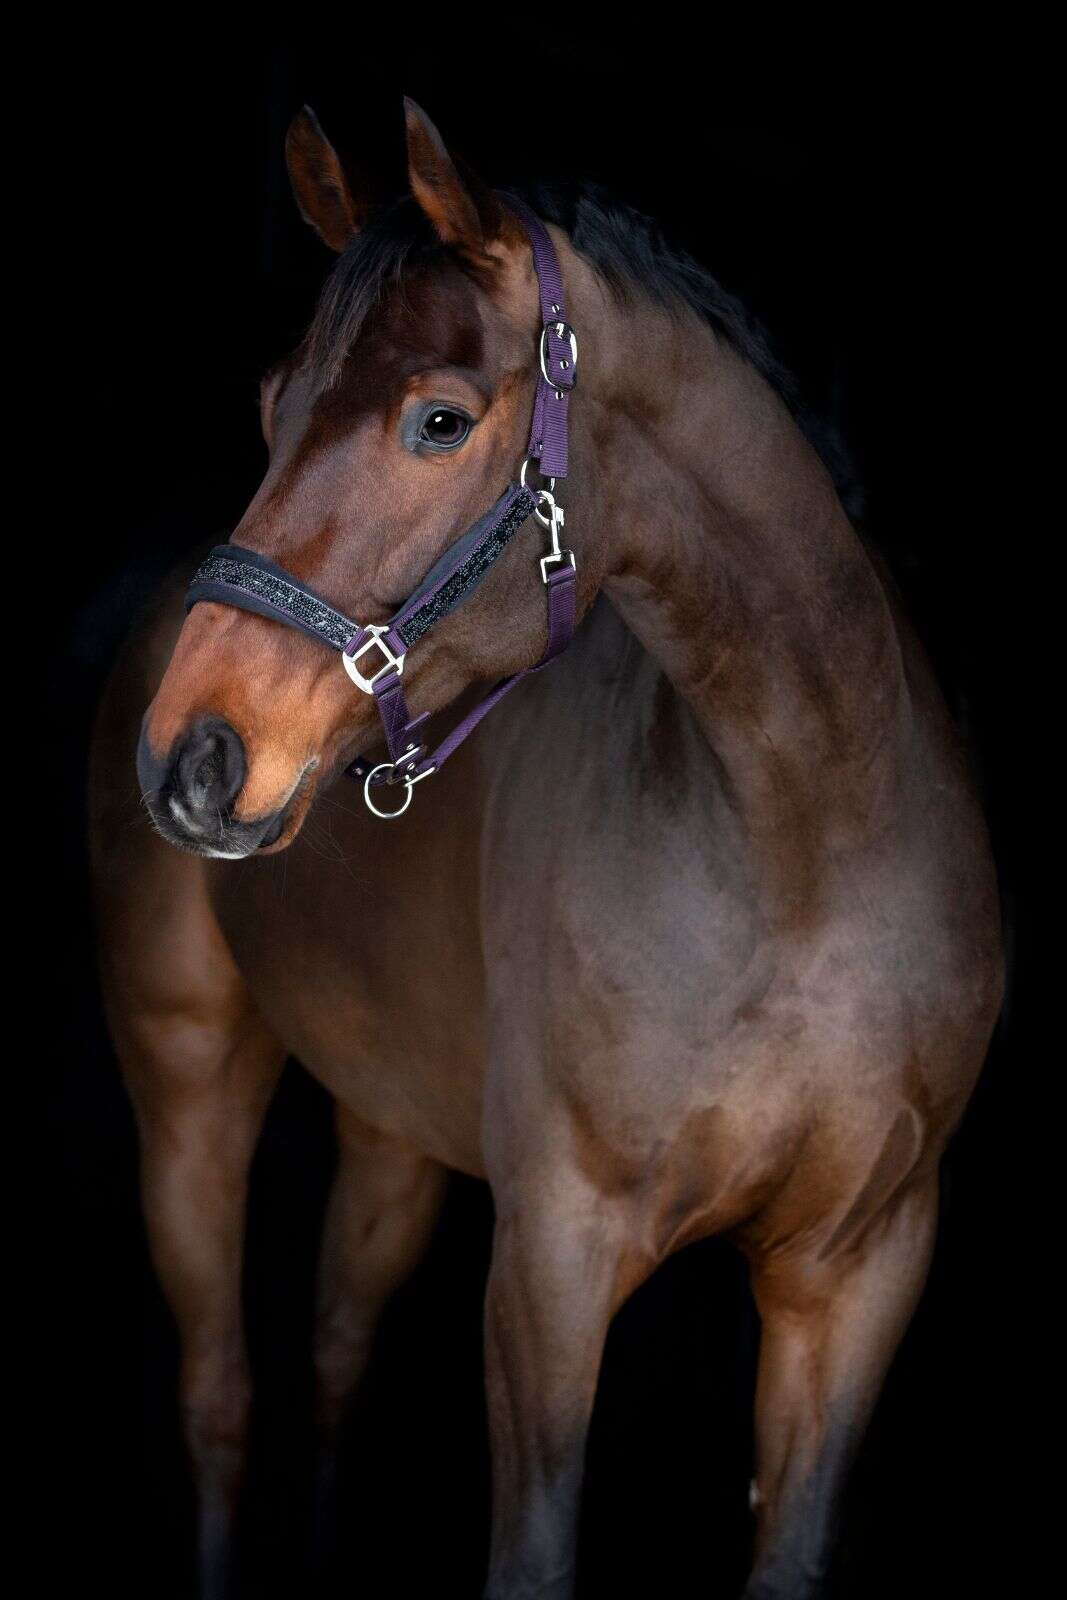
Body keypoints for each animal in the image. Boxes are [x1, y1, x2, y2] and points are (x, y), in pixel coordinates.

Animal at [89, 99, 1003, 1599]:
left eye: (438, 421)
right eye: (273, 409)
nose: (194, 754)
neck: (802, 849)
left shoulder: (857, 1272)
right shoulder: (551, 1264)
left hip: (391, 1122)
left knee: (336, 1356)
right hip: (186, 1080)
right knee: (219, 1394)